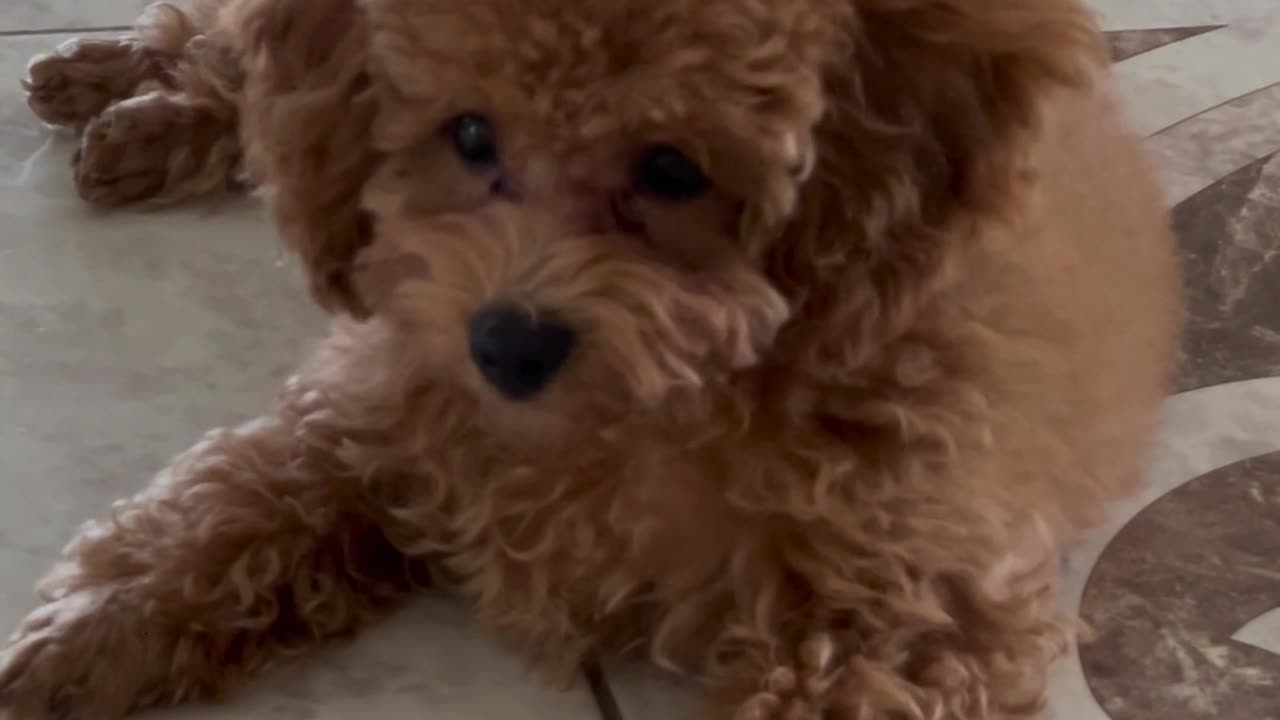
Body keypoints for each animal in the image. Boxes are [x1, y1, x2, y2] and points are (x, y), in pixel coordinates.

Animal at [2, 0, 1177, 712]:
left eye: (672, 169)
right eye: (471, 135)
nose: (506, 345)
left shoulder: (914, 607)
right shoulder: (380, 402)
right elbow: (228, 510)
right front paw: (81, 638)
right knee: (232, 51)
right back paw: (115, 86)